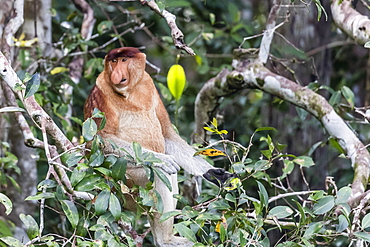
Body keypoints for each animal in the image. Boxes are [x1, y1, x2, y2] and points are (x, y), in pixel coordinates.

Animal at [84, 47, 231, 246]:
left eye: (123, 60)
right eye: (113, 62)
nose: (115, 74)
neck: (130, 91)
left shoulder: (149, 84)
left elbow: (167, 134)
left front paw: (214, 173)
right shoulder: (101, 94)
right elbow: (99, 140)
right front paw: (163, 160)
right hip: (125, 184)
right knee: (161, 175)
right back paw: (165, 239)